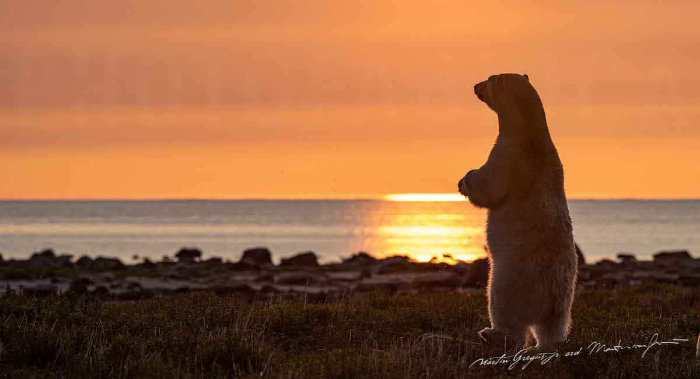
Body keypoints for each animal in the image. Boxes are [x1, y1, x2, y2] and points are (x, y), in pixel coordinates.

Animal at [456, 72, 576, 352]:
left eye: (487, 80)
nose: (474, 86)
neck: (530, 131)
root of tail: (551, 295)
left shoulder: (508, 153)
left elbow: (489, 186)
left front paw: (464, 180)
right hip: (565, 299)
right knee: (553, 325)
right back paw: (544, 345)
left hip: (513, 281)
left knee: (503, 308)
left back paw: (492, 334)